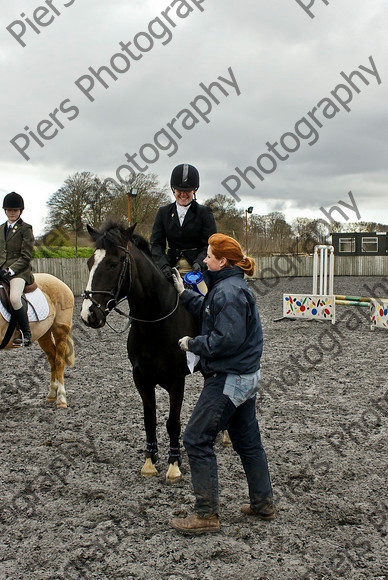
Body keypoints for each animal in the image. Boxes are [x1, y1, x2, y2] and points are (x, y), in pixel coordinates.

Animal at [0, 276, 75, 408]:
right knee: (52, 359)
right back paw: (52, 394)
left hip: (60, 330)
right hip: (44, 334)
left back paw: (61, 400)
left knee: (59, 361)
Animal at [80, 221, 199, 480]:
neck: (154, 321)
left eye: (113, 263)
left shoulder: (177, 380)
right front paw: (149, 461)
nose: (89, 314)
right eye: (90, 262)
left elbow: (172, 422)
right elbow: (150, 419)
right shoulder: (141, 378)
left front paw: (174, 464)